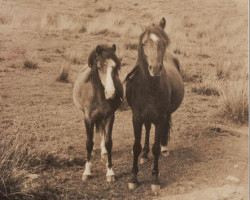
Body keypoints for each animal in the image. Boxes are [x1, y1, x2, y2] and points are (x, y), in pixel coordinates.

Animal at [73, 44, 122, 182]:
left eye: (115, 67)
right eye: (99, 67)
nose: (111, 93)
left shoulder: (109, 116)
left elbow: (108, 142)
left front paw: (110, 172)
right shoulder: (88, 118)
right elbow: (89, 143)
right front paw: (87, 171)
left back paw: (103, 151)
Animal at [124, 18, 184, 192]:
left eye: (163, 43)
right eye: (144, 43)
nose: (155, 68)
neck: (149, 88)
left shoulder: (160, 117)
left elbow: (156, 148)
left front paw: (155, 179)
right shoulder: (136, 117)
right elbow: (136, 146)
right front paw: (133, 177)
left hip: (164, 115)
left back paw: (164, 147)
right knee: (148, 128)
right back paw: (144, 154)